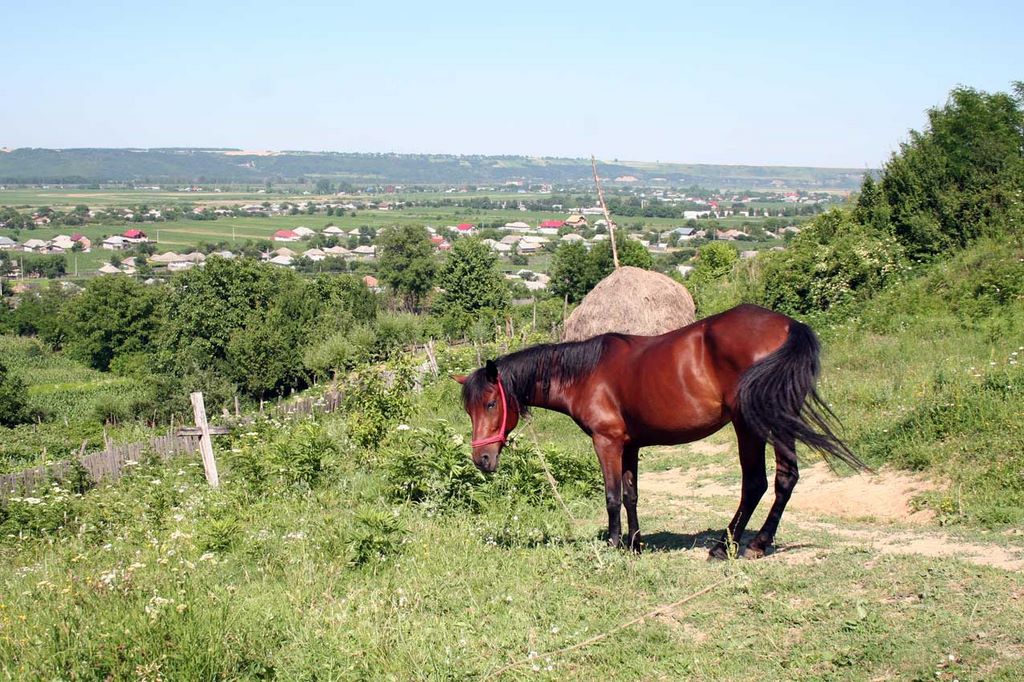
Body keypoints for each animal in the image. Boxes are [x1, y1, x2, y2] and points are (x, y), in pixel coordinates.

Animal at [454, 303, 864, 557]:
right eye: (468, 409)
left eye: (490, 404)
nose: (482, 459)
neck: (585, 373)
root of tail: (789, 325)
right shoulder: (631, 445)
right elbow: (632, 495)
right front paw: (635, 544)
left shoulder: (607, 442)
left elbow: (612, 496)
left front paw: (614, 544)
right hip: (778, 421)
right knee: (785, 478)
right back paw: (759, 542)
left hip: (749, 425)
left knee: (755, 483)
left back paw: (728, 545)